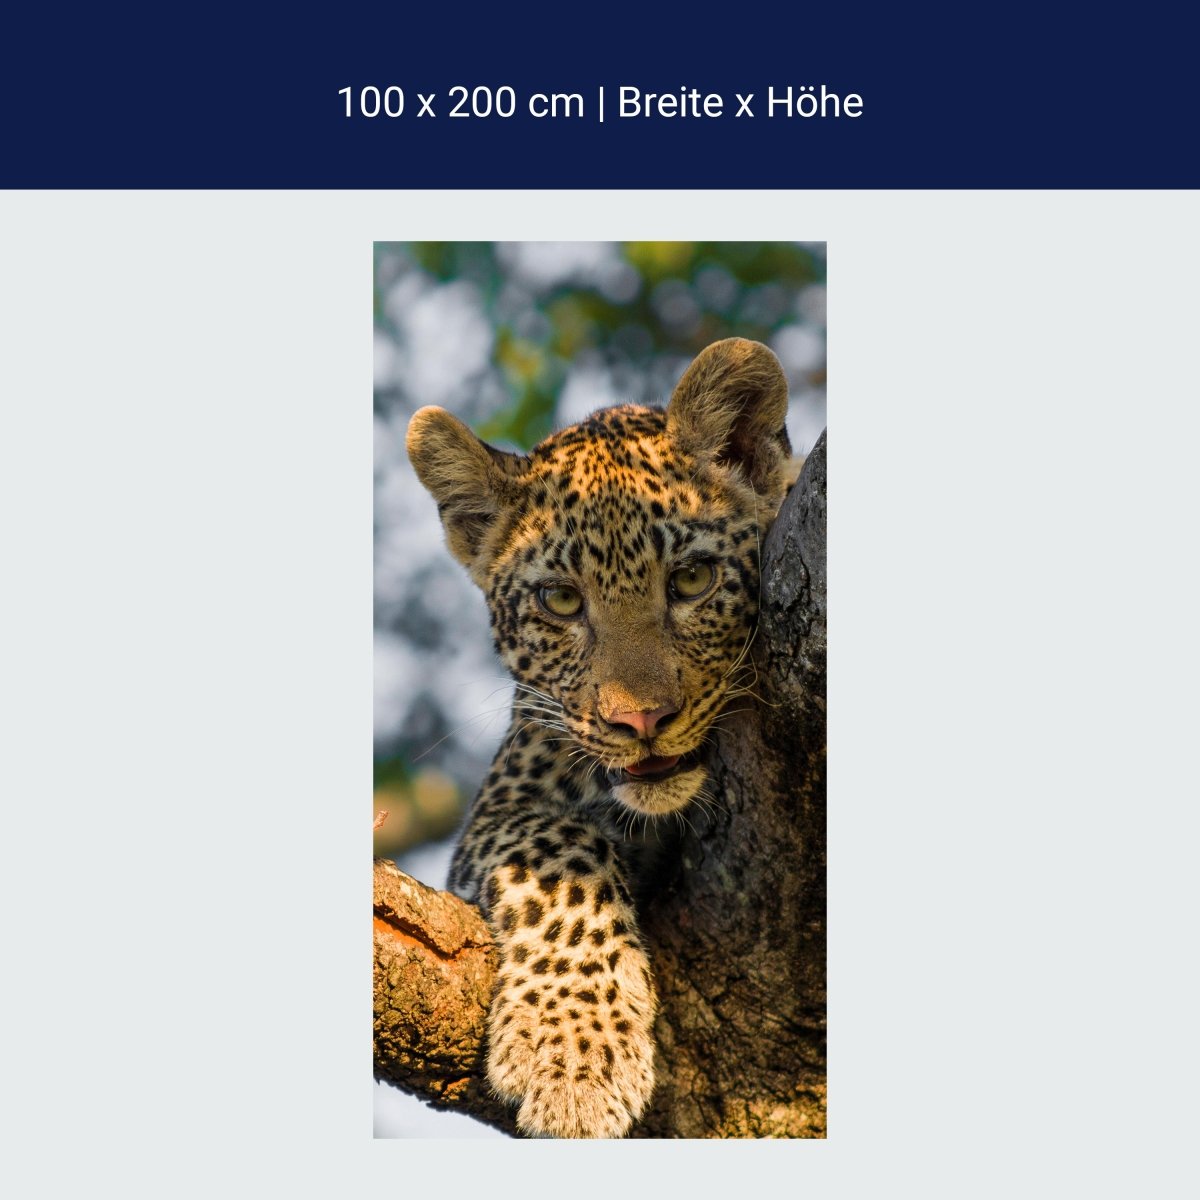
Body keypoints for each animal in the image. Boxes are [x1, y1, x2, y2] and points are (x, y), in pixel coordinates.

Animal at [406, 337, 794, 1138]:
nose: (640, 721)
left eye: (692, 579)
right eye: (560, 600)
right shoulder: (503, 803)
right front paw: (574, 1058)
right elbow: (561, 851)